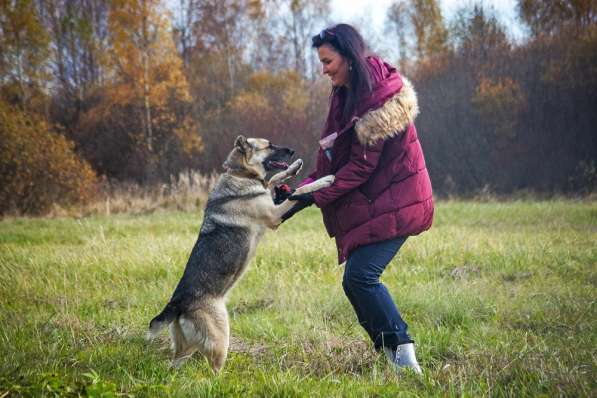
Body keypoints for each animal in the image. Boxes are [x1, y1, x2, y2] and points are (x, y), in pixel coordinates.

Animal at [147, 135, 336, 372]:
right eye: (269, 146)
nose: (292, 151)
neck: (240, 174)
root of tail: (178, 304)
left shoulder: (270, 198)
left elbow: (274, 179)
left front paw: (294, 168)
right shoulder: (274, 214)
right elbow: (298, 194)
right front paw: (323, 182)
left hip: (185, 350)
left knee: (175, 365)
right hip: (221, 338)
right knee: (214, 369)